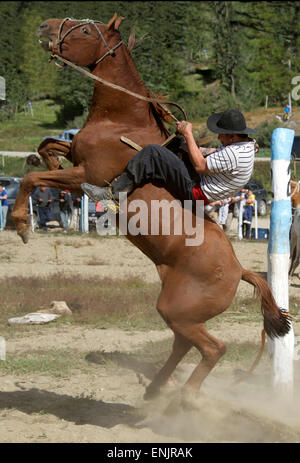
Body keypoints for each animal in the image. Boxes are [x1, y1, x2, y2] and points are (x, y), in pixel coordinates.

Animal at [12, 15, 290, 402]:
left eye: (85, 30)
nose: (44, 26)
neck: (120, 122)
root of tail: (240, 271)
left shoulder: (86, 174)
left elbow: (32, 178)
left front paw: (22, 223)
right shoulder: (75, 158)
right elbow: (47, 145)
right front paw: (48, 159)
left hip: (179, 311)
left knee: (212, 348)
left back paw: (181, 400)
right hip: (178, 311)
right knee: (184, 344)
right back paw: (157, 391)